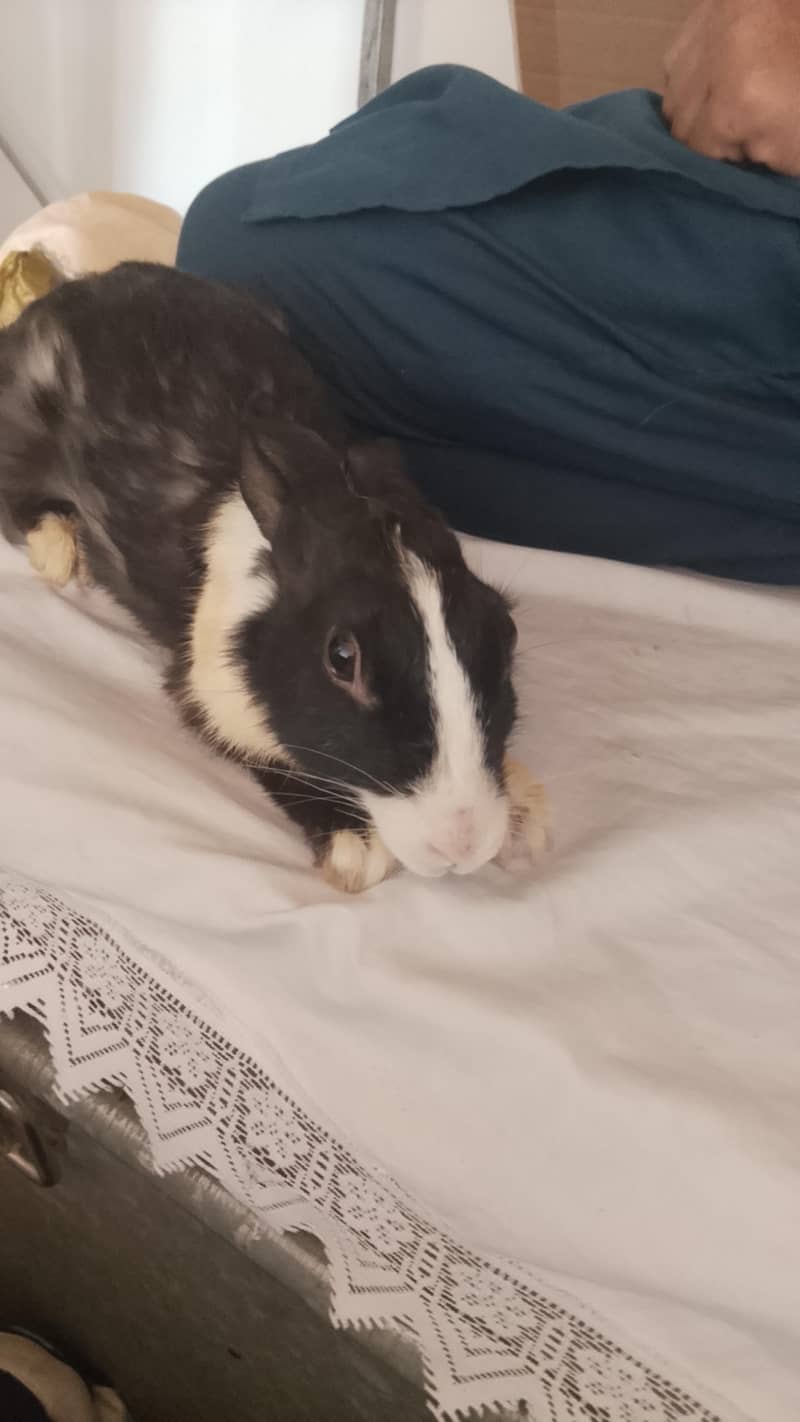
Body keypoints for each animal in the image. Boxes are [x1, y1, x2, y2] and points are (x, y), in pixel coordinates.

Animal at [0, 261, 548, 892]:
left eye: (505, 630)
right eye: (342, 657)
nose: (463, 845)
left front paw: (525, 816)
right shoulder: (210, 697)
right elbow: (272, 759)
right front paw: (355, 847)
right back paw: (60, 551)